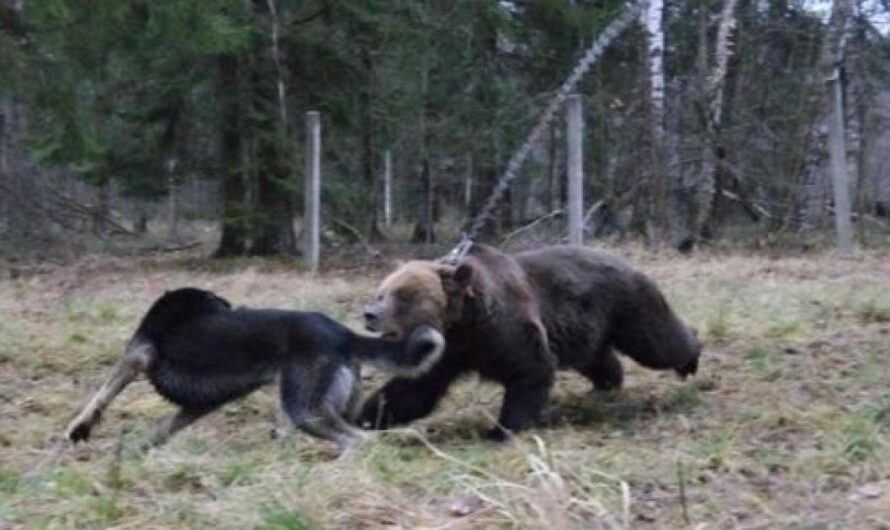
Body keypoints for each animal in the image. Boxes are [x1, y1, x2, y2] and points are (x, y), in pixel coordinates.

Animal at [64, 286, 444, 448]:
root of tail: (341, 333)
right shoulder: (199, 405)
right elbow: (162, 430)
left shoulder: (137, 356)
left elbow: (101, 395)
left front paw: (78, 428)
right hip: (338, 406)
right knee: (364, 433)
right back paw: (403, 437)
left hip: (304, 410)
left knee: (359, 440)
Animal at [358, 243, 696, 438]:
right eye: (381, 292)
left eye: (403, 296)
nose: (369, 314)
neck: (462, 322)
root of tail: (628, 261)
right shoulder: (448, 351)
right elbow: (414, 391)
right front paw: (365, 416)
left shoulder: (504, 326)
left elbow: (530, 368)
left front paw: (501, 429)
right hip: (584, 327)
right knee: (599, 358)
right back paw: (607, 384)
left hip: (627, 305)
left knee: (657, 343)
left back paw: (690, 359)